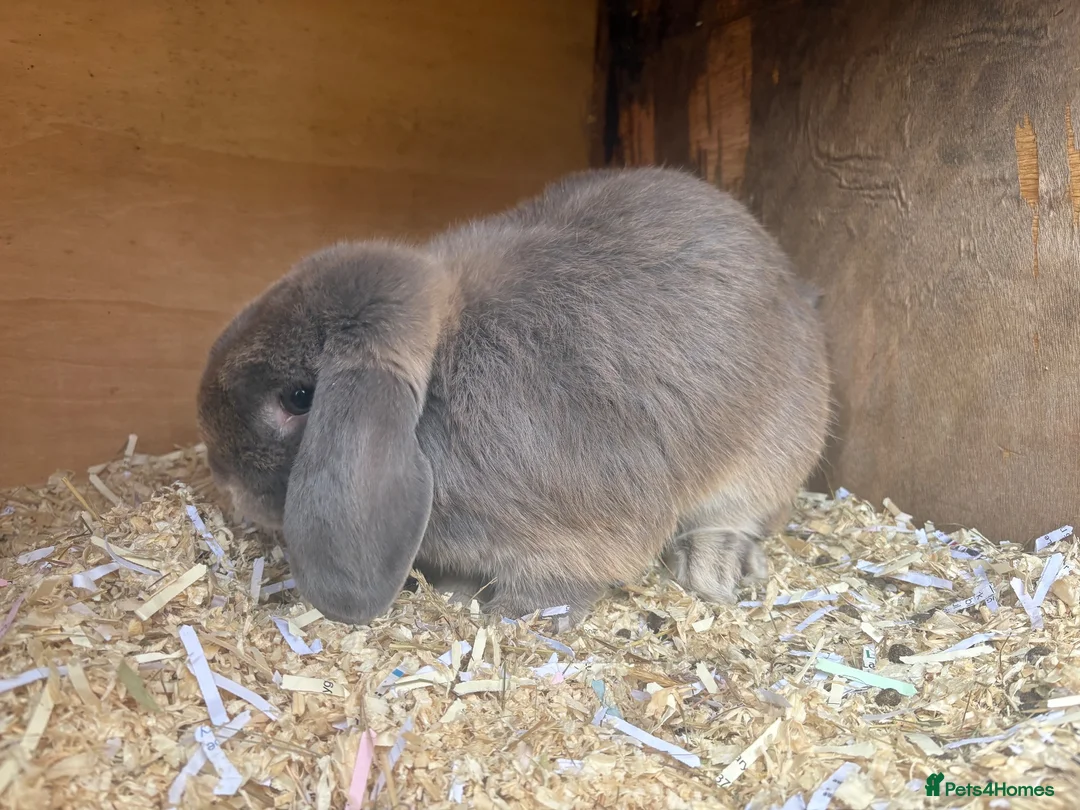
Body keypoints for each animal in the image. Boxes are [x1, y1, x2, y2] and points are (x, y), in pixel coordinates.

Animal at [196, 166, 831, 628]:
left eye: (298, 397)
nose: (222, 475)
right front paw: (455, 595)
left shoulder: (571, 538)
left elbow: (557, 585)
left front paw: (506, 617)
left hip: (769, 458)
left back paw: (710, 569)